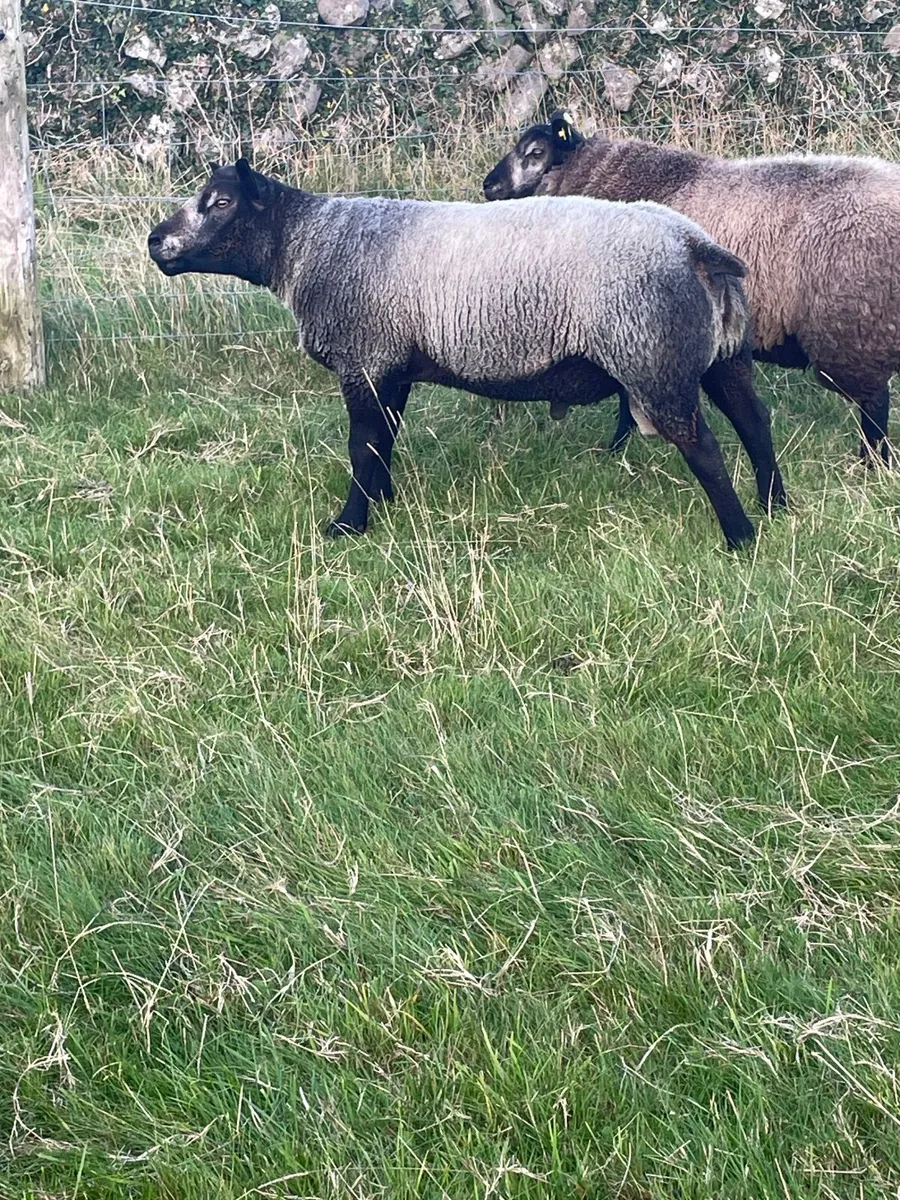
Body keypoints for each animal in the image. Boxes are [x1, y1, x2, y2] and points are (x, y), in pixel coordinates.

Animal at [147, 159, 786, 549]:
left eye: (220, 201)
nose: (155, 241)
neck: (305, 244)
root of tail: (696, 246)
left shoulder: (365, 357)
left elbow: (361, 444)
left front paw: (348, 526)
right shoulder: (392, 364)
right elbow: (383, 440)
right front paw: (383, 499)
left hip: (653, 356)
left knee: (705, 448)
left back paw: (739, 536)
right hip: (722, 353)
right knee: (754, 422)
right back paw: (776, 506)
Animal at [484, 110, 900, 464]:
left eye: (535, 153)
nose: (489, 186)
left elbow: (625, 401)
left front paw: (615, 449)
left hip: (854, 328)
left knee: (874, 404)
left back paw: (870, 464)